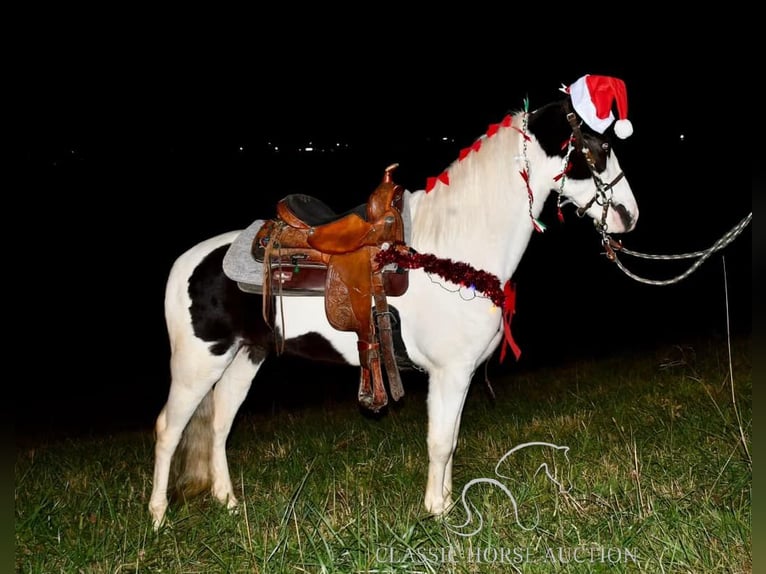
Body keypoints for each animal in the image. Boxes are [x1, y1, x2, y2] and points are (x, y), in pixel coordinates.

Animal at [147, 76, 640, 532]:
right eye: (597, 148)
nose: (628, 216)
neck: (452, 250)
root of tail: (185, 262)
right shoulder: (448, 372)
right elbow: (440, 442)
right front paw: (437, 512)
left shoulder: (458, 376)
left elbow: (450, 439)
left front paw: (445, 504)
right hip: (197, 363)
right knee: (169, 429)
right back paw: (157, 517)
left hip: (245, 356)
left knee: (219, 423)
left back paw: (228, 503)